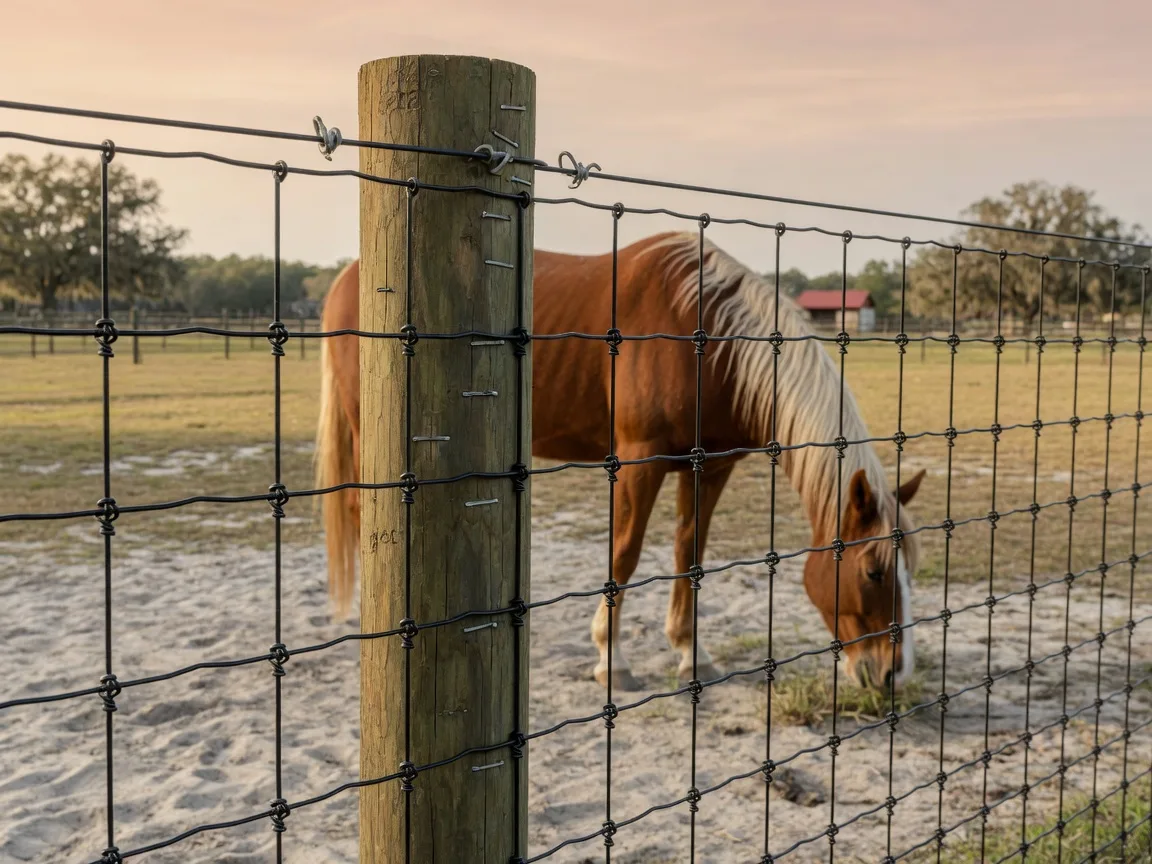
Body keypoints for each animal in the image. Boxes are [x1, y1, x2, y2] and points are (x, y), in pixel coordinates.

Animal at [314, 231, 926, 691]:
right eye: (872, 571)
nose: (894, 674)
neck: (705, 336)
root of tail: (345, 279)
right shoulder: (639, 462)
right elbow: (625, 556)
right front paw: (612, 660)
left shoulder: (711, 466)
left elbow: (689, 554)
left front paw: (691, 653)